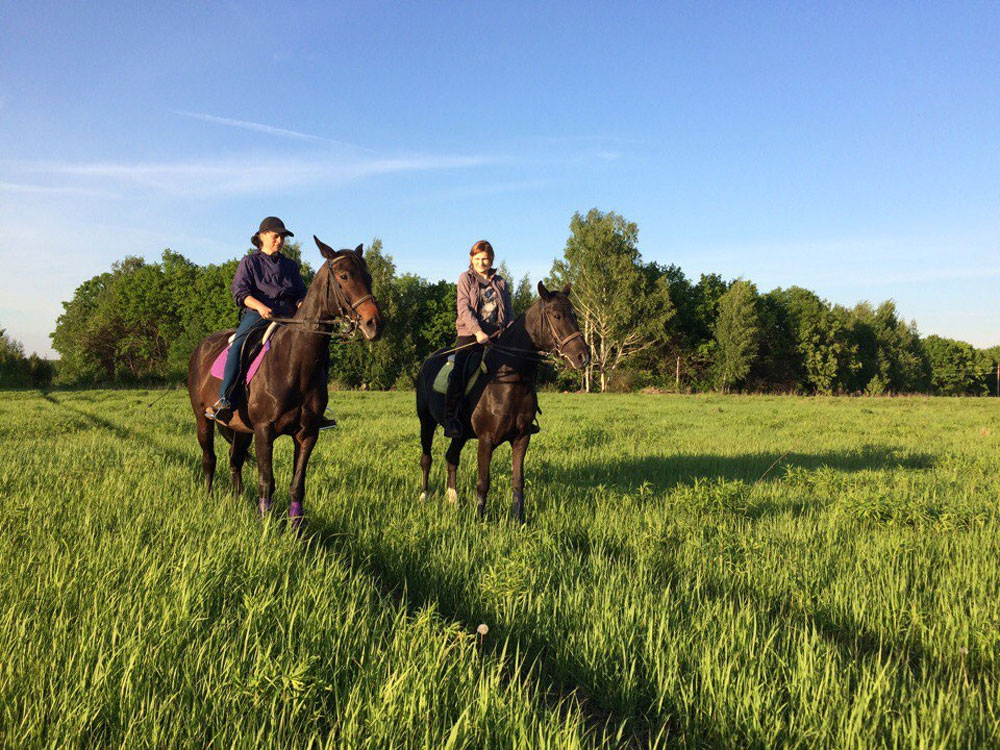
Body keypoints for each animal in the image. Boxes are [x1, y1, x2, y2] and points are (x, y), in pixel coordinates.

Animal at [188, 236, 382, 528]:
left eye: (368, 276)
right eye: (344, 276)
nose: (375, 323)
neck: (295, 361)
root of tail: (201, 348)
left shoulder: (307, 434)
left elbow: (297, 486)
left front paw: (296, 530)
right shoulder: (264, 430)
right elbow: (266, 482)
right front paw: (265, 526)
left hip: (241, 430)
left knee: (234, 461)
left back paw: (237, 502)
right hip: (204, 418)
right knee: (209, 459)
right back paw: (209, 500)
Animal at [416, 282, 588, 524]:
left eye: (574, 315)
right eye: (556, 316)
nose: (583, 356)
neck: (511, 379)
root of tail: (428, 361)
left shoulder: (522, 437)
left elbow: (518, 481)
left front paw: (519, 519)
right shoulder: (486, 440)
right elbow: (483, 482)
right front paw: (480, 519)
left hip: (460, 434)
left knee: (451, 458)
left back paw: (453, 499)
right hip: (426, 422)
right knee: (426, 459)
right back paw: (424, 496)